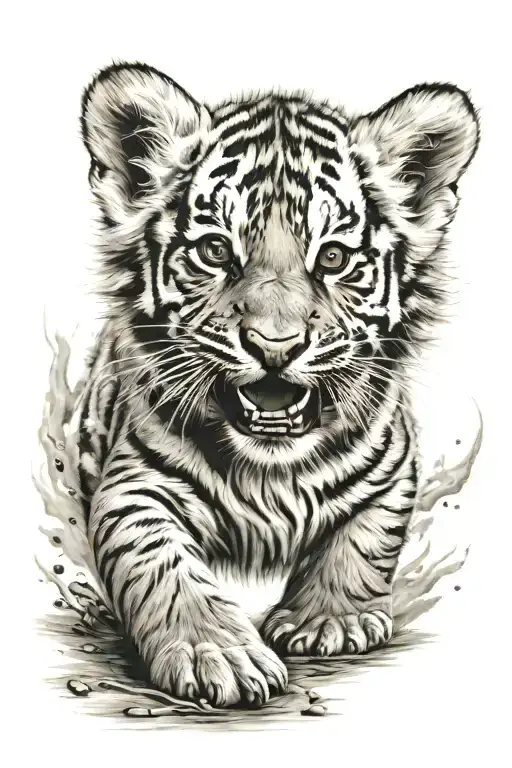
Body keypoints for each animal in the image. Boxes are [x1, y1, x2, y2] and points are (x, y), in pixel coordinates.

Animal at [75, 62, 479, 708]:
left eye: (333, 258)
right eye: (216, 250)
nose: (274, 346)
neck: (271, 470)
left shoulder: (393, 469)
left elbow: (366, 539)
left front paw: (330, 621)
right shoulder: (135, 485)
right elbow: (160, 564)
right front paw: (217, 653)